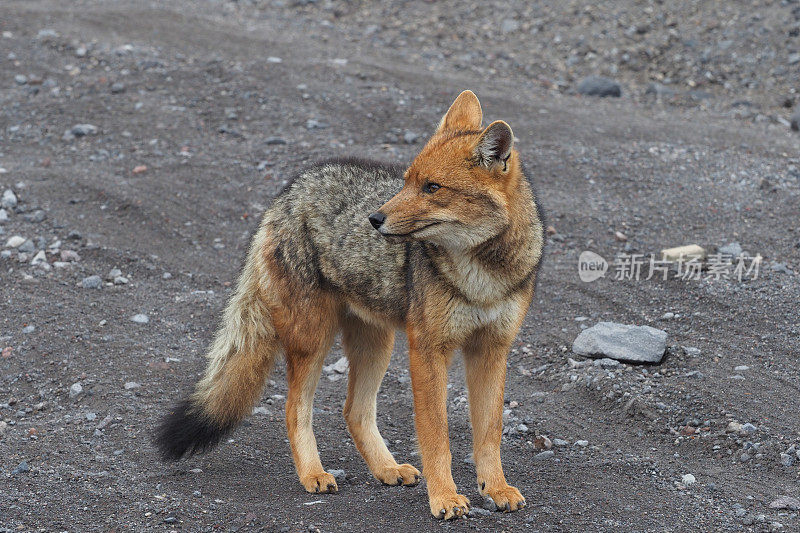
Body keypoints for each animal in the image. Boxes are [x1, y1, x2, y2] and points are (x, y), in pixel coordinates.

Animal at [156, 89, 544, 516]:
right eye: (407, 182)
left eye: (432, 187)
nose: (374, 219)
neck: (482, 278)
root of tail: (290, 190)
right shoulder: (428, 349)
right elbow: (436, 434)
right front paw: (444, 496)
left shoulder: (492, 349)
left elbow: (490, 432)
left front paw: (496, 487)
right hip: (313, 340)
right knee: (294, 409)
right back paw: (313, 473)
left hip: (377, 344)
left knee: (353, 411)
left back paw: (387, 468)